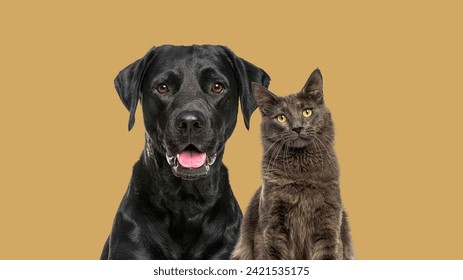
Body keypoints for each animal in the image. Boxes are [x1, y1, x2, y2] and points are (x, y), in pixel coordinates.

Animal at [232, 69, 356, 260]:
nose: (297, 127)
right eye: (281, 118)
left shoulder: (329, 224)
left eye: (307, 112)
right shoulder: (272, 226)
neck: (301, 172)